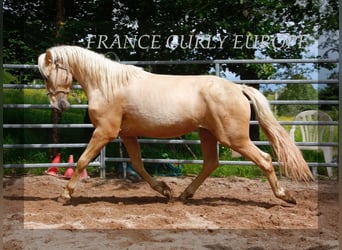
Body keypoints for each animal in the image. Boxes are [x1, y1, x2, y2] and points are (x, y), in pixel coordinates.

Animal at [37, 46, 312, 204]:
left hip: (234, 138)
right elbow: (138, 165)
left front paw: (64, 195)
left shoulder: (105, 132)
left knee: (264, 159)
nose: (59, 106)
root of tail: (238, 88)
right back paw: (184, 195)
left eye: (47, 74)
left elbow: (82, 161)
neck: (108, 85)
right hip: (207, 134)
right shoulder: (127, 135)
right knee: (211, 163)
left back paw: (285, 196)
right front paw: (165, 190)